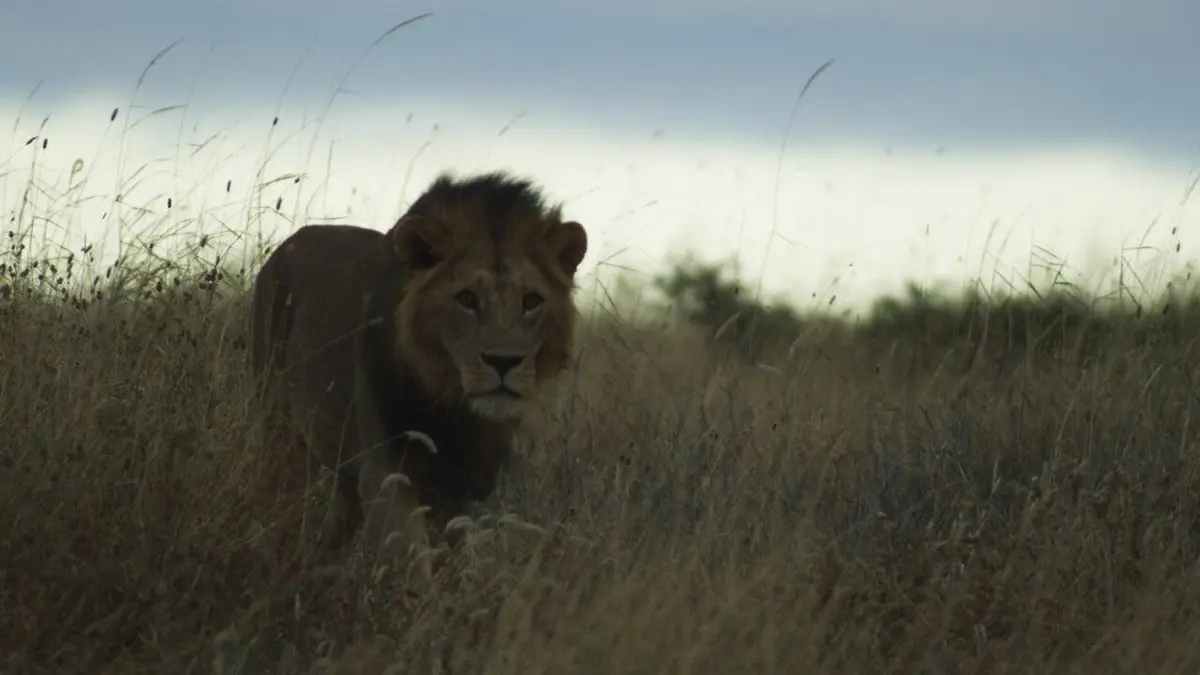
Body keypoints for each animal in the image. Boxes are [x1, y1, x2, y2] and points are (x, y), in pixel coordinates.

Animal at [250, 170, 588, 575]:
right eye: (467, 299)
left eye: (532, 301)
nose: (504, 361)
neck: (452, 407)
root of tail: (287, 245)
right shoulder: (386, 474)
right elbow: (411, 564)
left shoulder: (460, 488)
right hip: (277, 423)